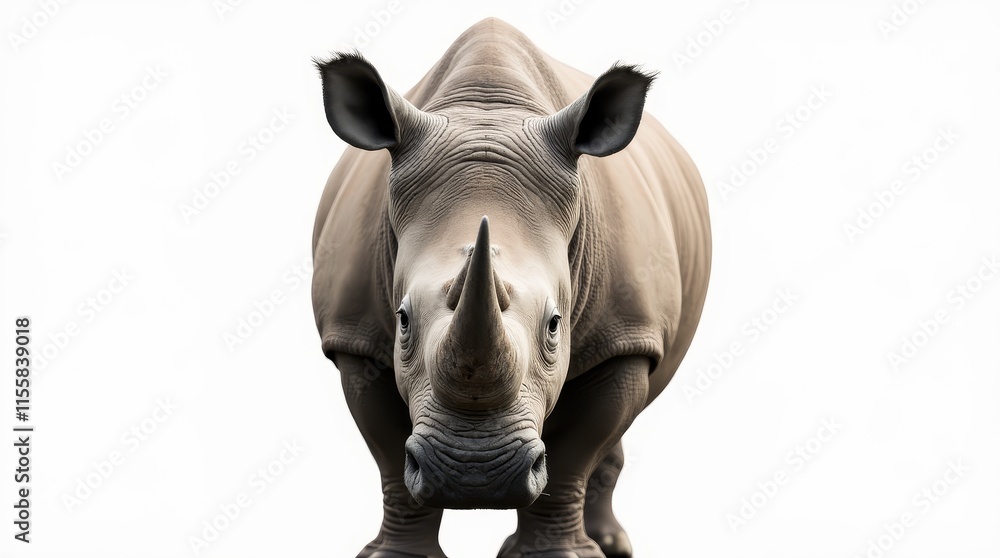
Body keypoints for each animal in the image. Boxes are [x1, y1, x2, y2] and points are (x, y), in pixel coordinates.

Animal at [311, 18, 710, 558]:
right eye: (402, 320)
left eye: (555, 324)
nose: (473, 475)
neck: (489, 110)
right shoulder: (356, 339)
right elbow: (390, 458)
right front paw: (397, 556)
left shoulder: (626, 337)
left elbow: (573, 455)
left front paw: (558, 555)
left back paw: (611, 544)